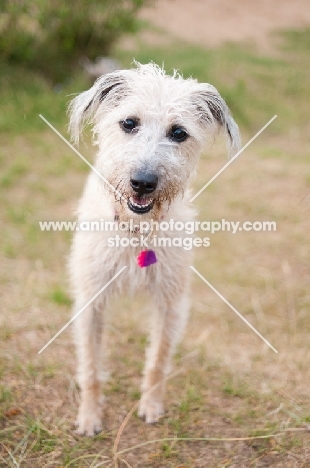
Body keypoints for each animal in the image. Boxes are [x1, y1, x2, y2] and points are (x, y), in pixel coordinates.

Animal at [68, 62, 240, 436]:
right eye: (129, 123)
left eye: (178, 133)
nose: (143, 182)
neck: (138, 231)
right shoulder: (91, 300)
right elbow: (90, 365)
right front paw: (89, 415)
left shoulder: (170, 302)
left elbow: (159, 358)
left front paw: (150, 405)